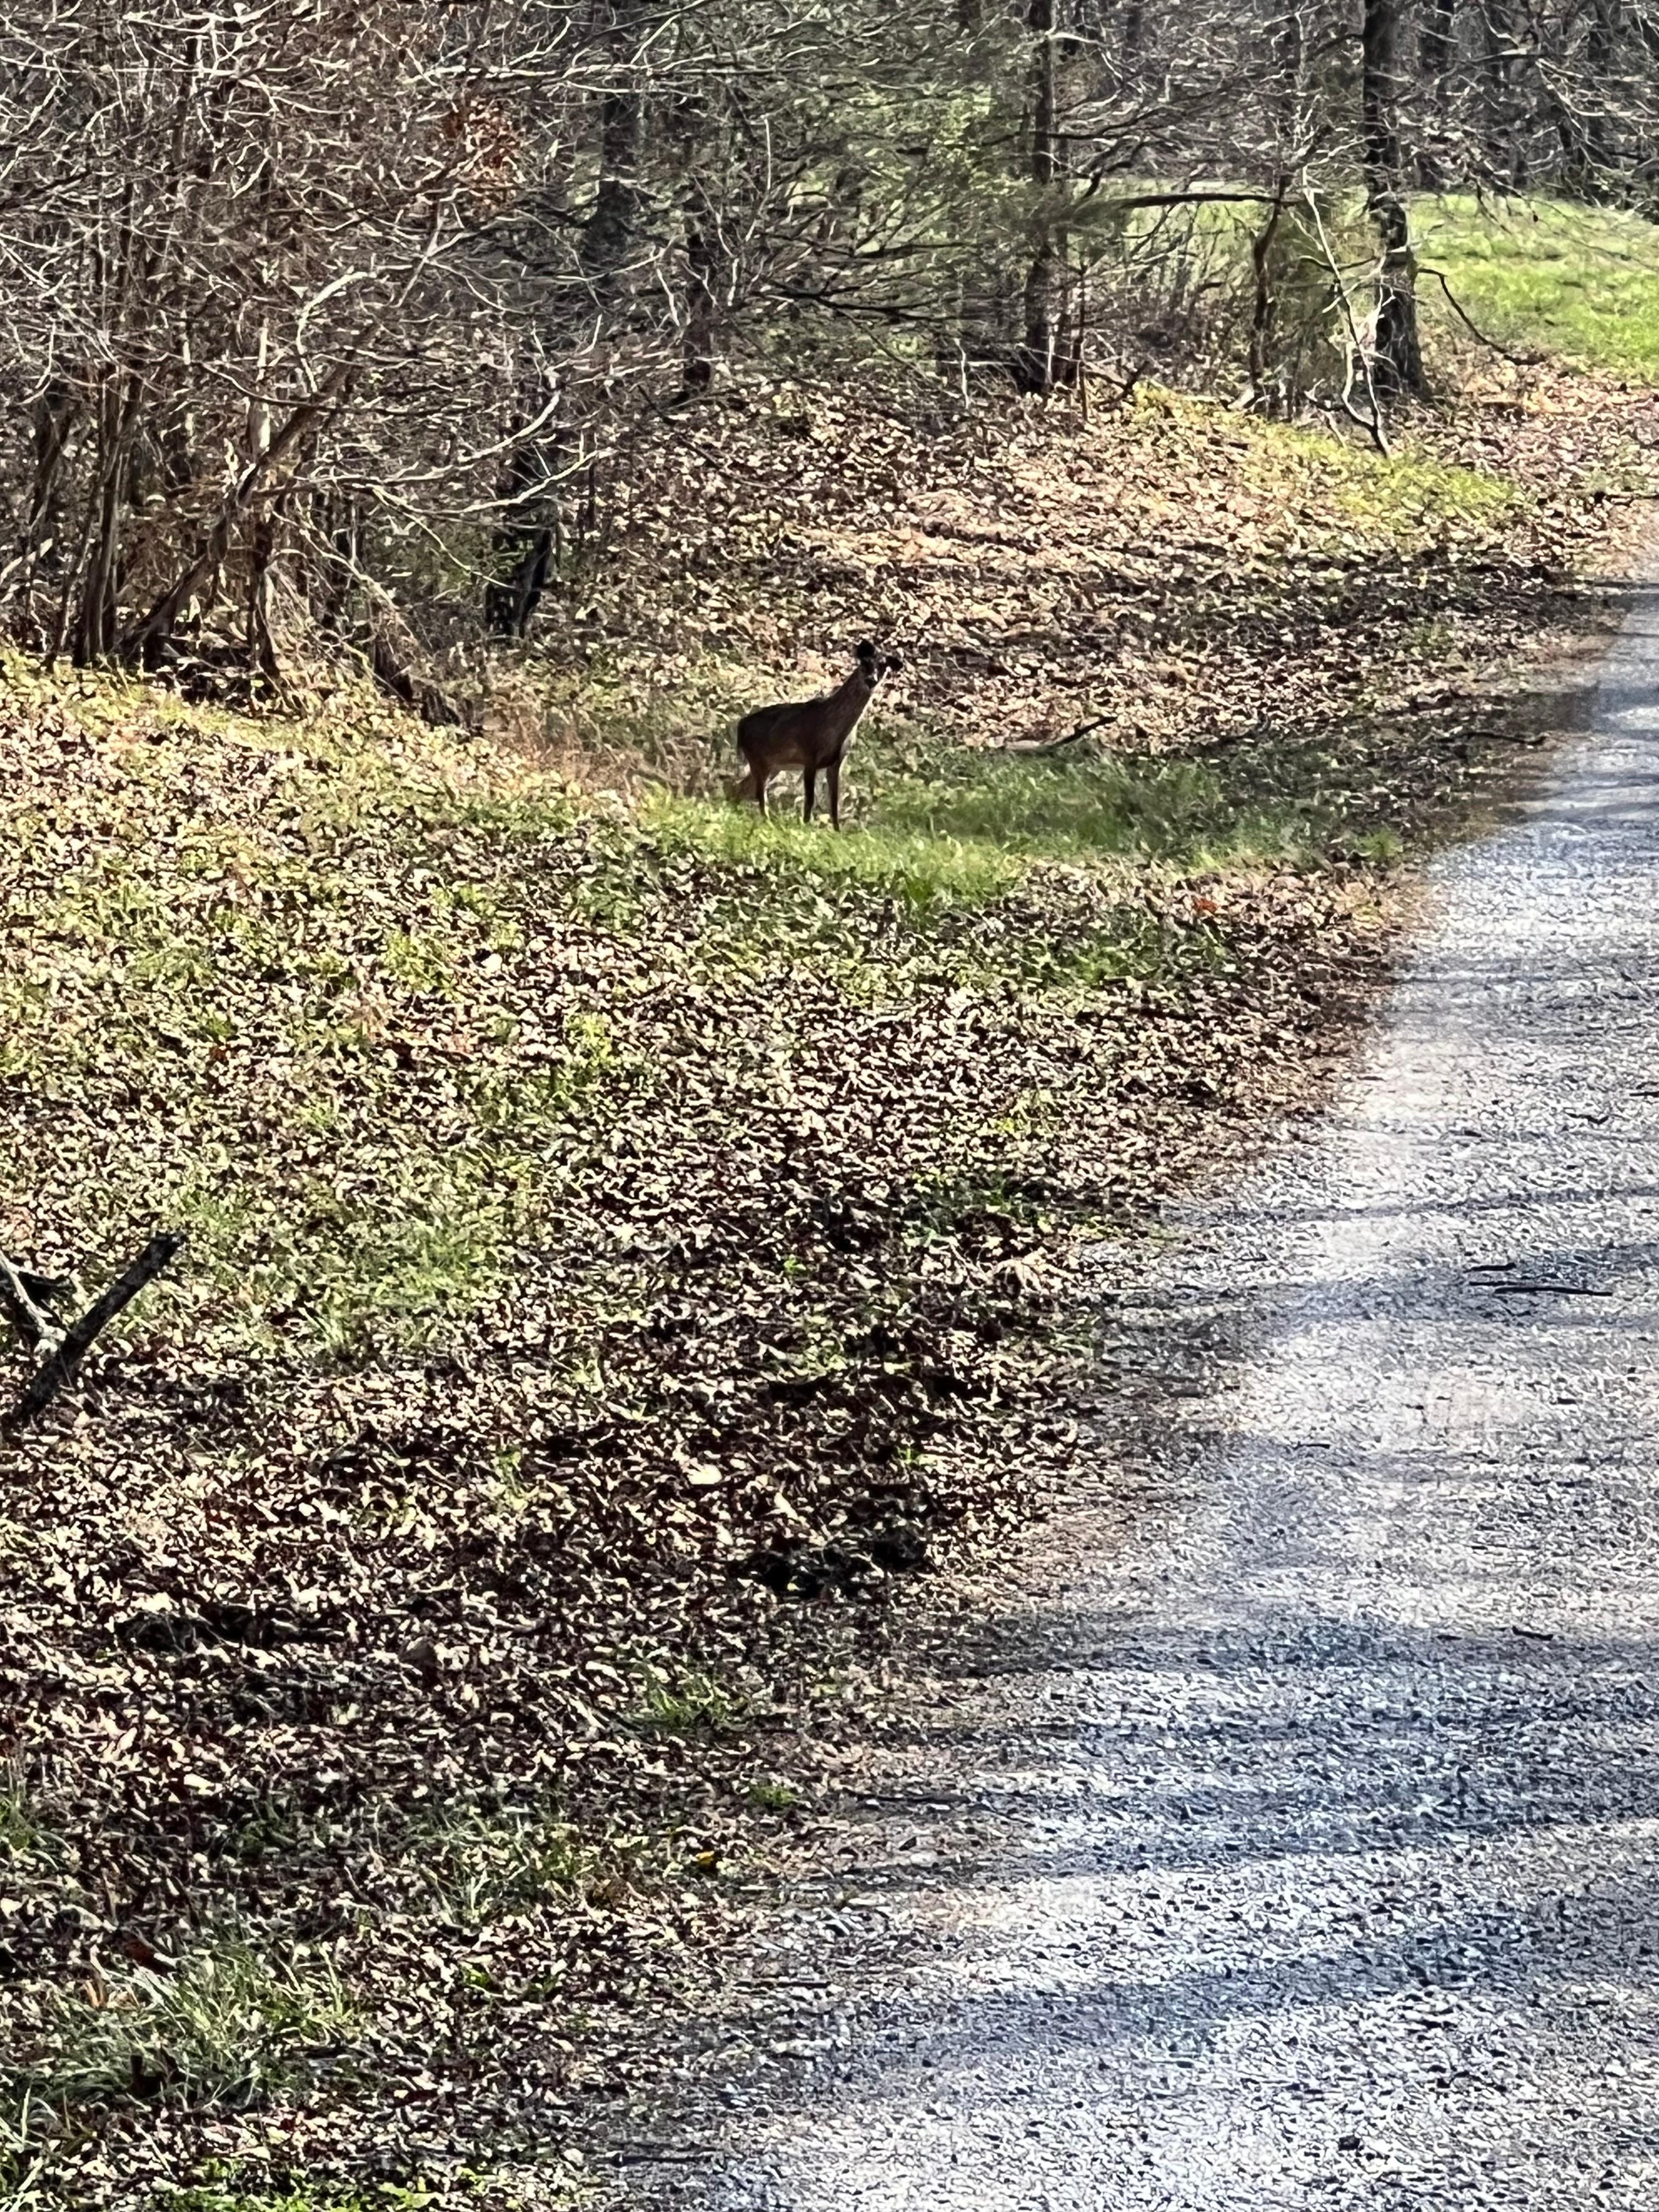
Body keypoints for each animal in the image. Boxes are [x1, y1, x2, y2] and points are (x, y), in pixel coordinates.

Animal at [730, 640, 900, 828]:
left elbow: (834, 803)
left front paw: (836, 831)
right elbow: (810, 800)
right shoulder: (809, 755)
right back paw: (766, 821)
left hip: (774, 766)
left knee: (741, 789)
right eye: (865, 663)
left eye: (884, 666)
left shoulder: (838, 761)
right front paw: (805, 826)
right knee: (759, 795)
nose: (871, 680)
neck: (836, 730)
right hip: (758, 759)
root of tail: (740, 727)